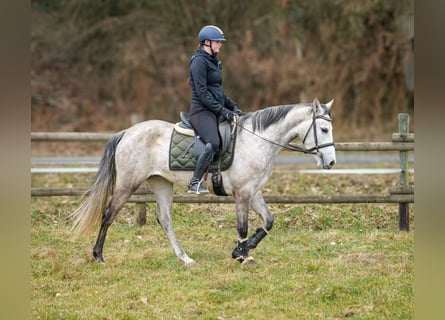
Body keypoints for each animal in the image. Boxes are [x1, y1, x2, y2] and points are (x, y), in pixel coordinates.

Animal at [69, 97, 334, 264]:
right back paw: (99, 256)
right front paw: (243, 256)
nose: (330, 163)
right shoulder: (242, 193)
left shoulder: (254, 191)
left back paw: (184, 258)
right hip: (128, 183)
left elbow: (268, 221)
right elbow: (242, 226)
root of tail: (127, 132)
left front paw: (243, 249)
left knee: (164, 219)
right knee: (108, 214)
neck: (257, 139)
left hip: (161, 183)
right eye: (323, 129)